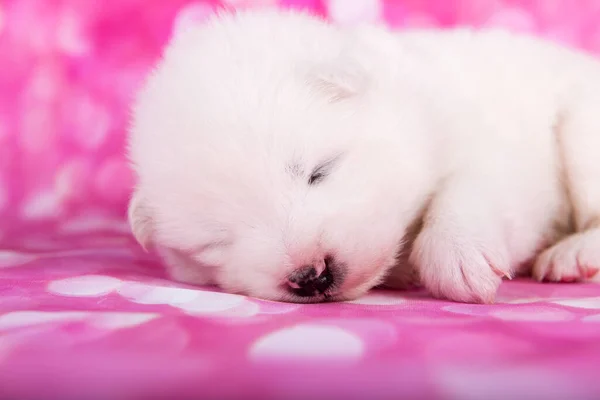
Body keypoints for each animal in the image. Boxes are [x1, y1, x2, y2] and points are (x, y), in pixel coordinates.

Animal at [125, 8, 600, 304]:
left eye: (319, 172)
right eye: (216, 240)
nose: (311, 274)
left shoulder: (502, 147)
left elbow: (467, 192)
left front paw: (457, 258)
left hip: (582, 130)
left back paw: (572, 255)